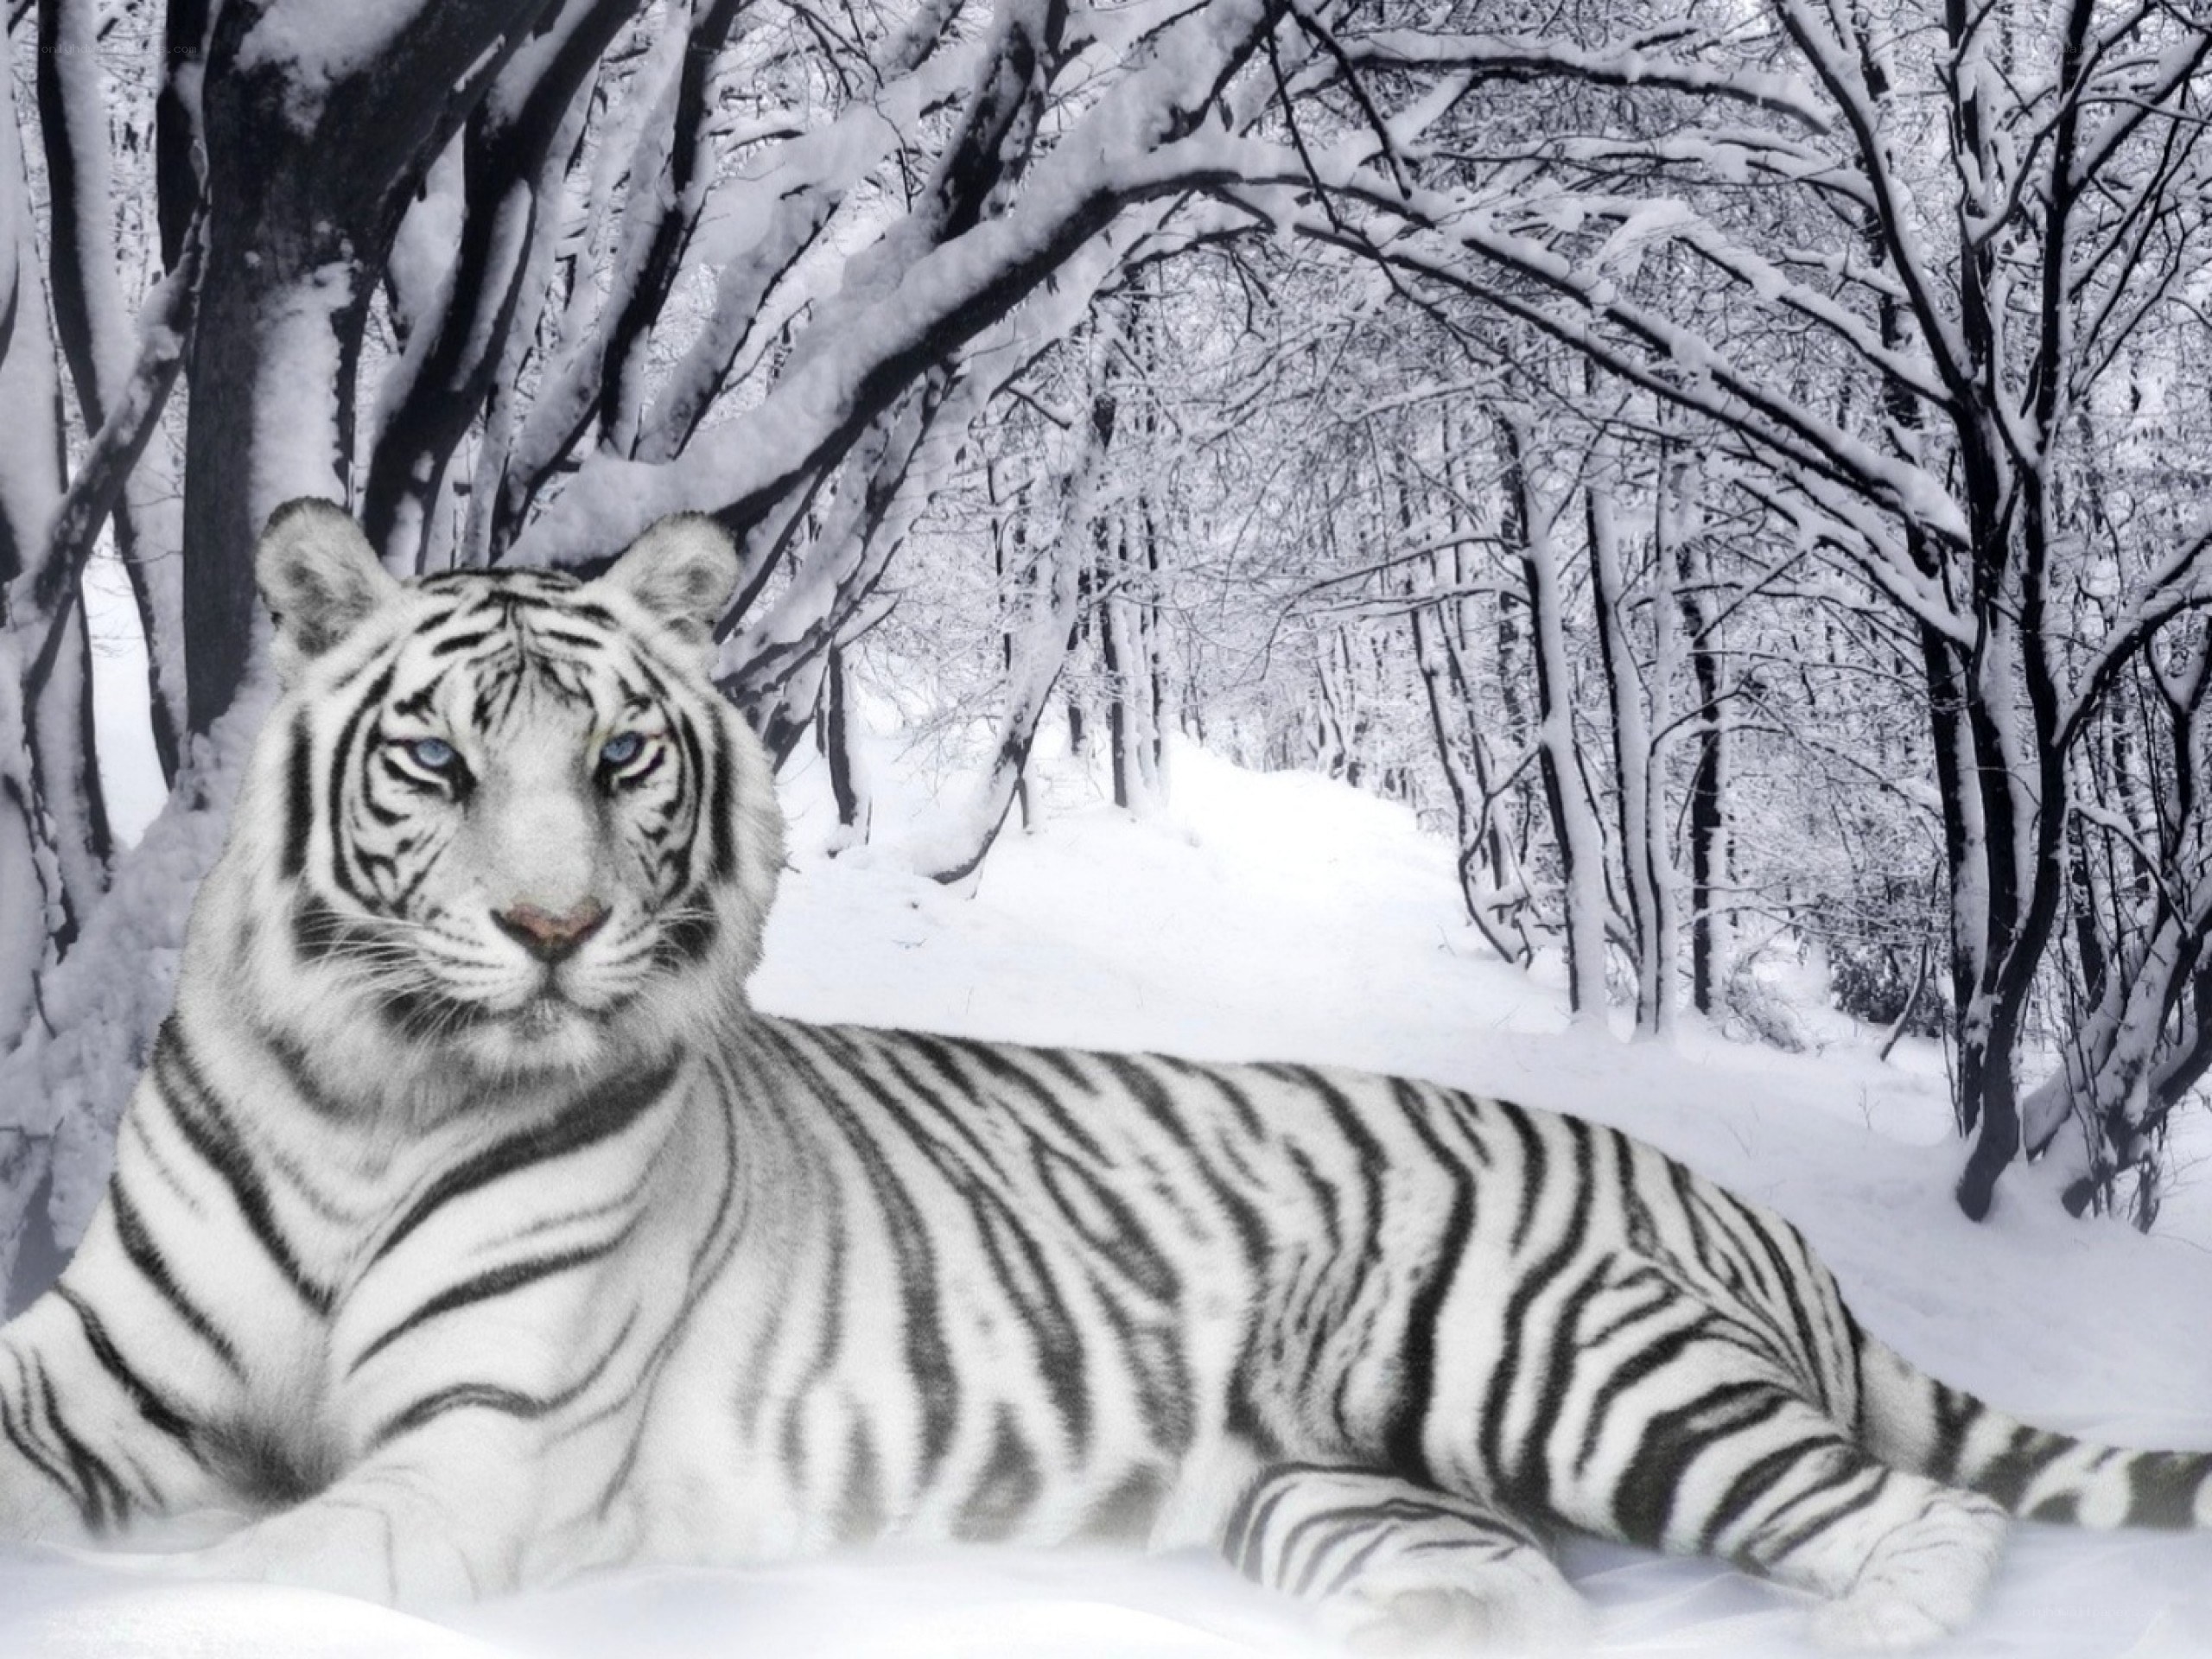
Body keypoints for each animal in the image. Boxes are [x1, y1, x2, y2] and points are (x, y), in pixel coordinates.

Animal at [0, 497, 2204, 1655]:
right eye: (437, 762)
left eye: (620, 757)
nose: (551, 932)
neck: (367, 1095)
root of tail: (1747, 1212)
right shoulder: (102, 1377)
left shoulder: (467, 1454)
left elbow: (228, 1582)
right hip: (1356, 1500)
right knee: (1519, 1597)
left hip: (1563, 1364)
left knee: (1918, 1522)